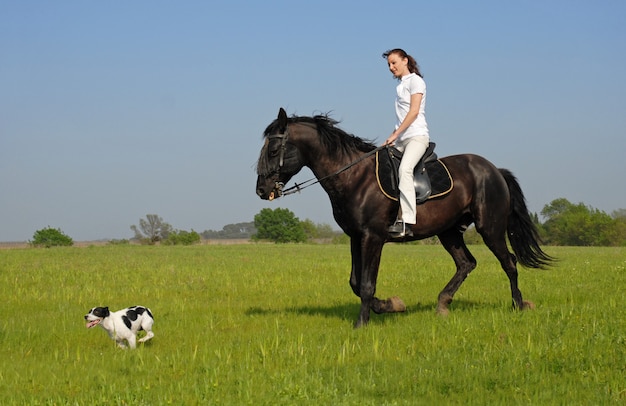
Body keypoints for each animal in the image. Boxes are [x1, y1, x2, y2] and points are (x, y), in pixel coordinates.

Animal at [256, 107, 548, 326]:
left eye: (273, 151)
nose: (261, 190)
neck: (353, 176)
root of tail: (494, 170)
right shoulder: (355, 237)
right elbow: (355, 282)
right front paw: (391, 305)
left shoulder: (373, 237)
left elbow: (366, 284)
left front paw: (364, 322)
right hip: (449, 232)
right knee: (467, 263)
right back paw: (443, 304)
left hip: (491, 228)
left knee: (509, 262)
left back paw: (519, 305)